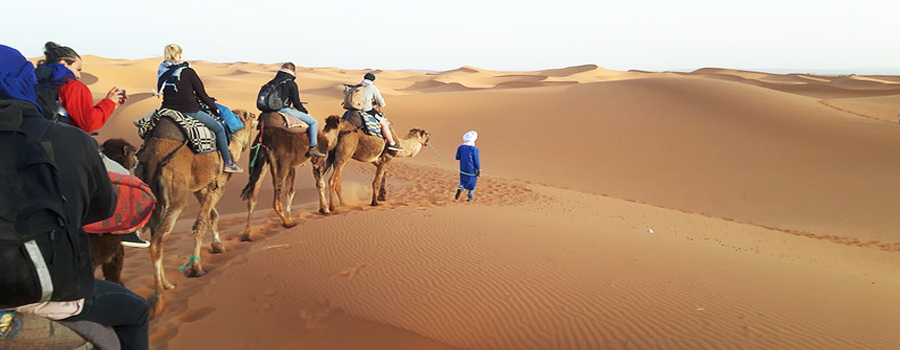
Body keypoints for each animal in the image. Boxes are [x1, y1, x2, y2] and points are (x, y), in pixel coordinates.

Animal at [136, 108, 256, 316]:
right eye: (251, 122)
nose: (256, 116)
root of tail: (153, 157)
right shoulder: (218, 185)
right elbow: (200, 224)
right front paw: (196, 268)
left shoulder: (201, 187)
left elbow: (212, 215)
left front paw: (218, 246)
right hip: (177, 198)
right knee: (157, 241)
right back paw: (158, 297)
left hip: (154, 197)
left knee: (157, 235)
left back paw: (167, 284)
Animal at [237, 113, 342, 241]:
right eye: (341, 120)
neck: (327, 139)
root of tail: (265, 141)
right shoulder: (317, 161)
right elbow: (320, 185)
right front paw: (325, 210)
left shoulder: (292, 167)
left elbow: (290, 191)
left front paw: (292, 216)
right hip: (281, 165)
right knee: (276, 198)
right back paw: (287, 224)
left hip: (258, 163)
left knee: (253, 195)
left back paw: (247, 234)